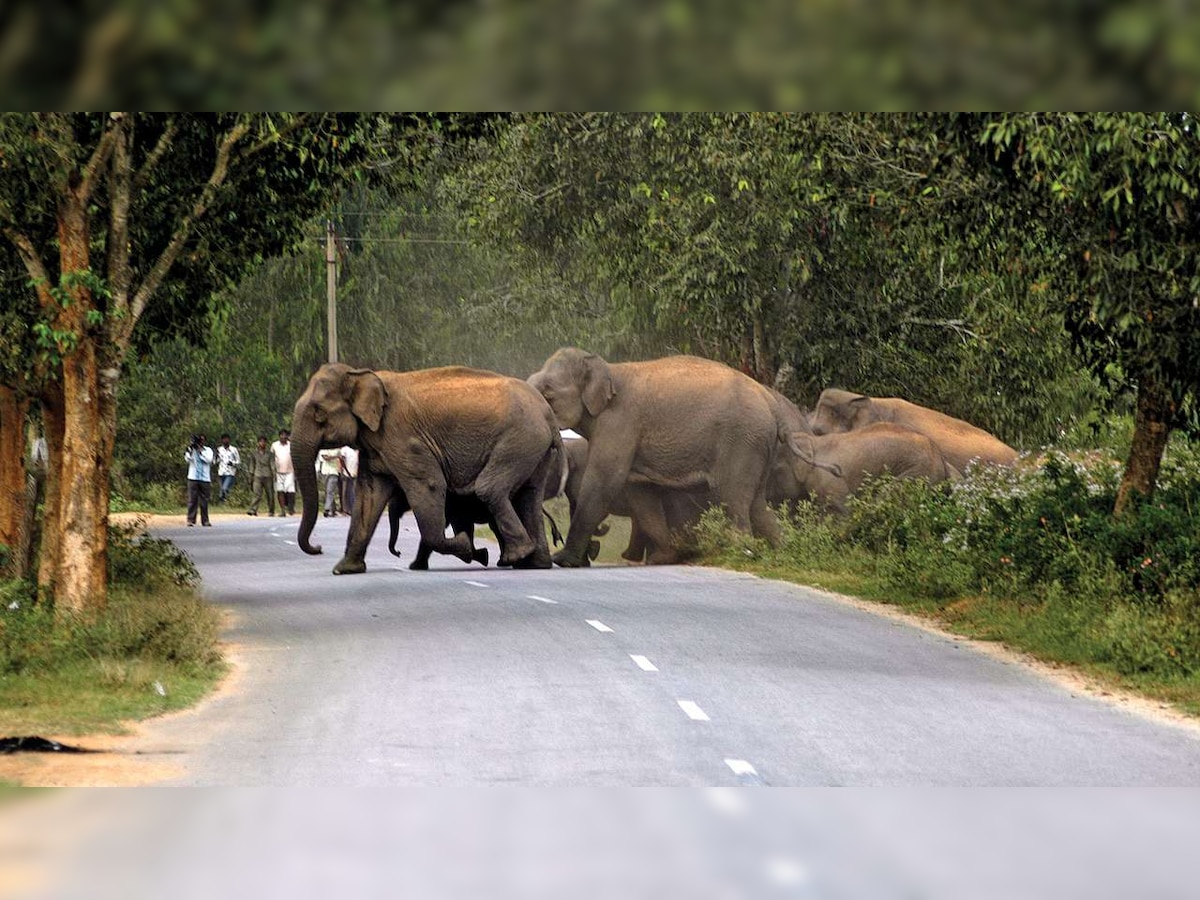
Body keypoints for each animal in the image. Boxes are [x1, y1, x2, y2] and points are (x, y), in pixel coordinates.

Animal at [292, 362, 559, 573]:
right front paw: (345, 570)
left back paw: (515, 556)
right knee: (529, 496)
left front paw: (466, 546)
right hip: (534, 447)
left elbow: (429, 485)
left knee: (490, 489)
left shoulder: (405, 438)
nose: (318, 547)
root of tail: (547, 413)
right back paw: (533, 564)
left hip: (520, 438)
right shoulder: (375, 444)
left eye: (318, 413)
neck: (361, 374)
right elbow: (369, 495)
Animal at [525, 348, 777, 566]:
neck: (607, 370)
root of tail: (769, 403)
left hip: (740, 441)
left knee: (732, 498)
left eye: (548, 390)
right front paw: (664, 557)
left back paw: (741, 553)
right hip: (756, 446)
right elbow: (640, 493)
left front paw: (563, 560)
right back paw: (775, 551)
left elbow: (603, 482)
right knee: (757, 505)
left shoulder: (619, 422)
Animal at [777, 424, 955, 513]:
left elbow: (842, 510)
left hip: (918, 473)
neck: (813, 441)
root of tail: (941, 458)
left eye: (777, 468)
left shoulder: (829, 482)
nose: (837, 470)